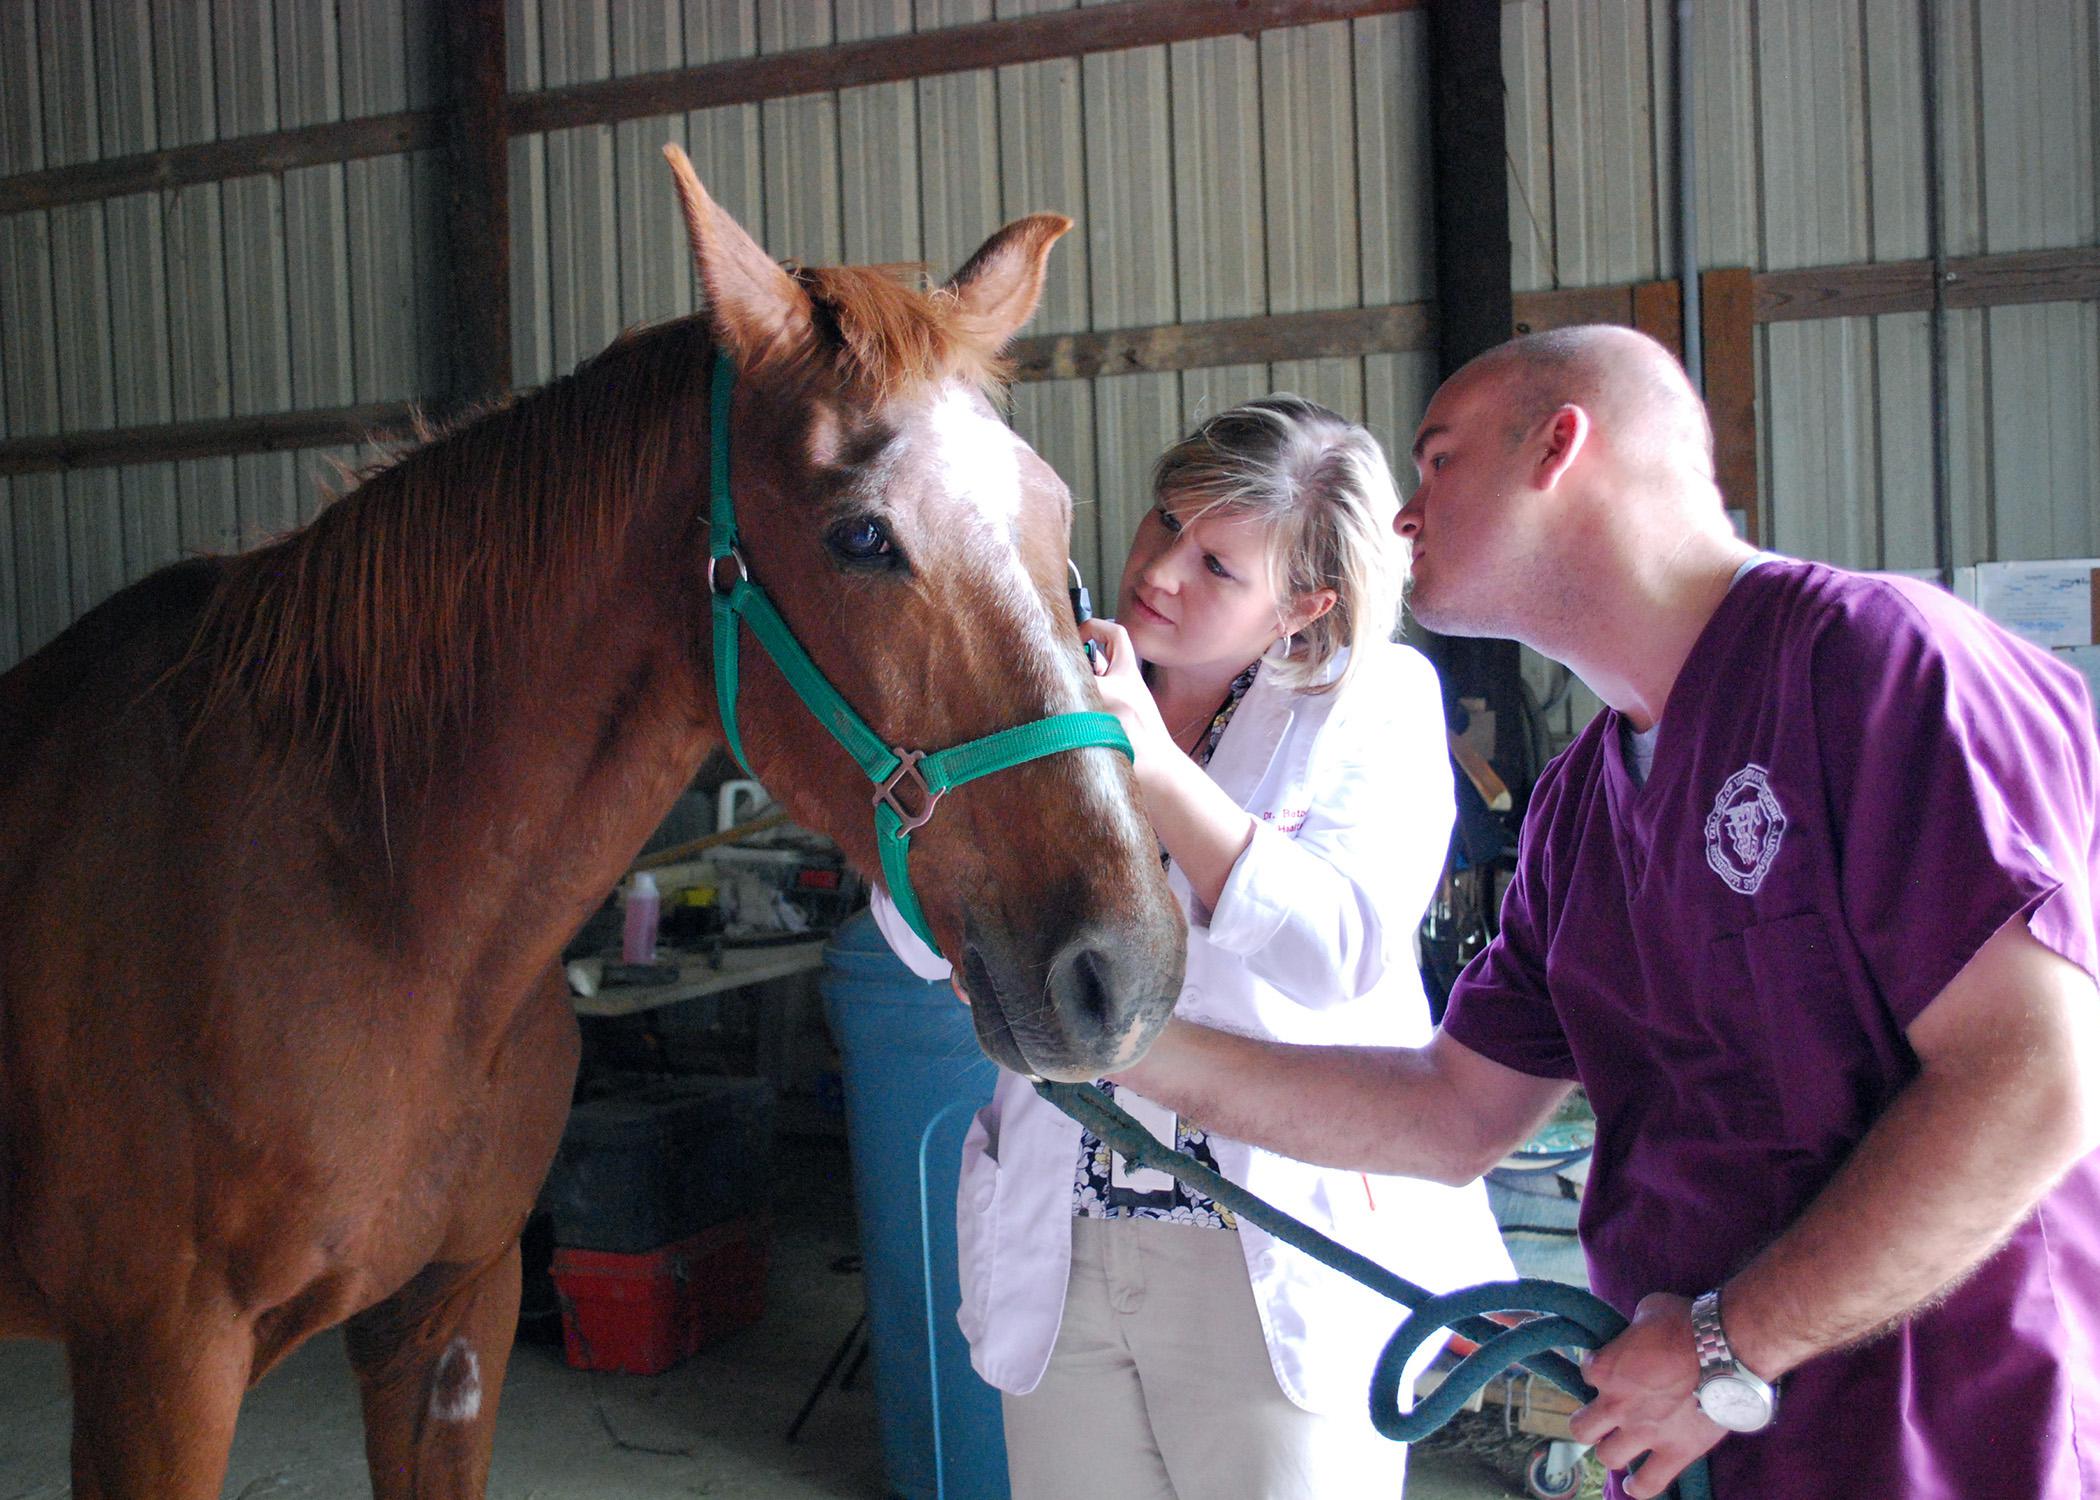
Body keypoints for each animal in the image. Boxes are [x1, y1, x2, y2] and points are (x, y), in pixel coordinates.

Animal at [0, 142, 1184, 1495]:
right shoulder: (159, 1368)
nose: (1127, 968)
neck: (371, 909)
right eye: (860, 536)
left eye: (1055, 510)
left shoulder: (451, 1320)